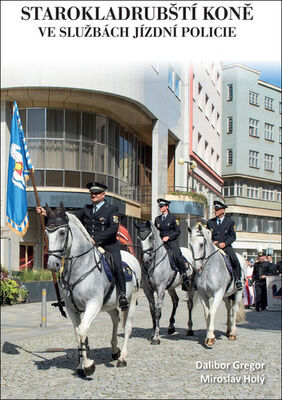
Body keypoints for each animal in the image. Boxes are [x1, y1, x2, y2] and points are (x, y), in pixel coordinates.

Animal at [45, 202, 141, 376]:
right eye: (47, 233)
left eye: (62, 232)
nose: (52, 265)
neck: (79, 267)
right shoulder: (72, 308)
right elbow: (78, 334)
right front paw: (80, 365)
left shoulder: (93, 304)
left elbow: (83, 330)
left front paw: (88, 366)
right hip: (109, 303)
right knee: (115, 318)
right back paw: (114, 350)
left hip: (131, 300)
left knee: (127, 327)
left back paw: (122, 358)